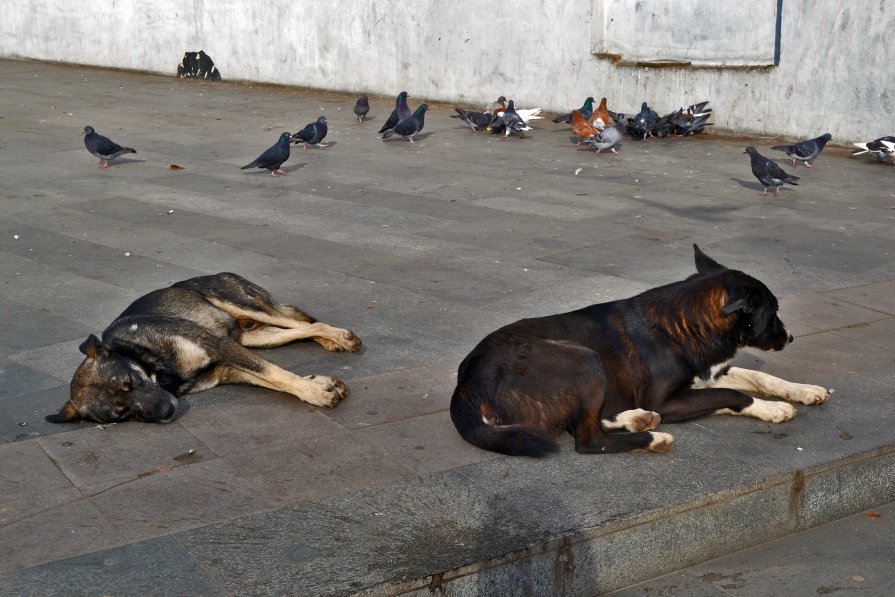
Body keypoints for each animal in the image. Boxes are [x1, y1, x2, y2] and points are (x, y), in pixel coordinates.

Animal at [45, 274, 360, 424]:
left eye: (130, 382)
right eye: (122, 414)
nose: (167, 411)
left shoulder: (219, 345)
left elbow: (275, 373)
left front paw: (316, 393)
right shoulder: (227, 367)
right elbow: (274, 378)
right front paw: (316, 385)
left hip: (240, 304)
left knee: (307, 322)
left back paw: (339, 336)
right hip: (254, 337)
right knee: (300, 329)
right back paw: (330, 340)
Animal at [452, 244, 828, 454]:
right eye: (773, 312)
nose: (791, 337)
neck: (685, 323)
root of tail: (466, 383)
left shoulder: (706, 375)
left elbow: (758, 378)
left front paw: (804, 390)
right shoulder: (665, 399)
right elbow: (733, 395)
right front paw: (770, 409)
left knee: (589, 422)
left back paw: (636, 419)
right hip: (584, 360)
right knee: (587, 440)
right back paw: (651, 437)